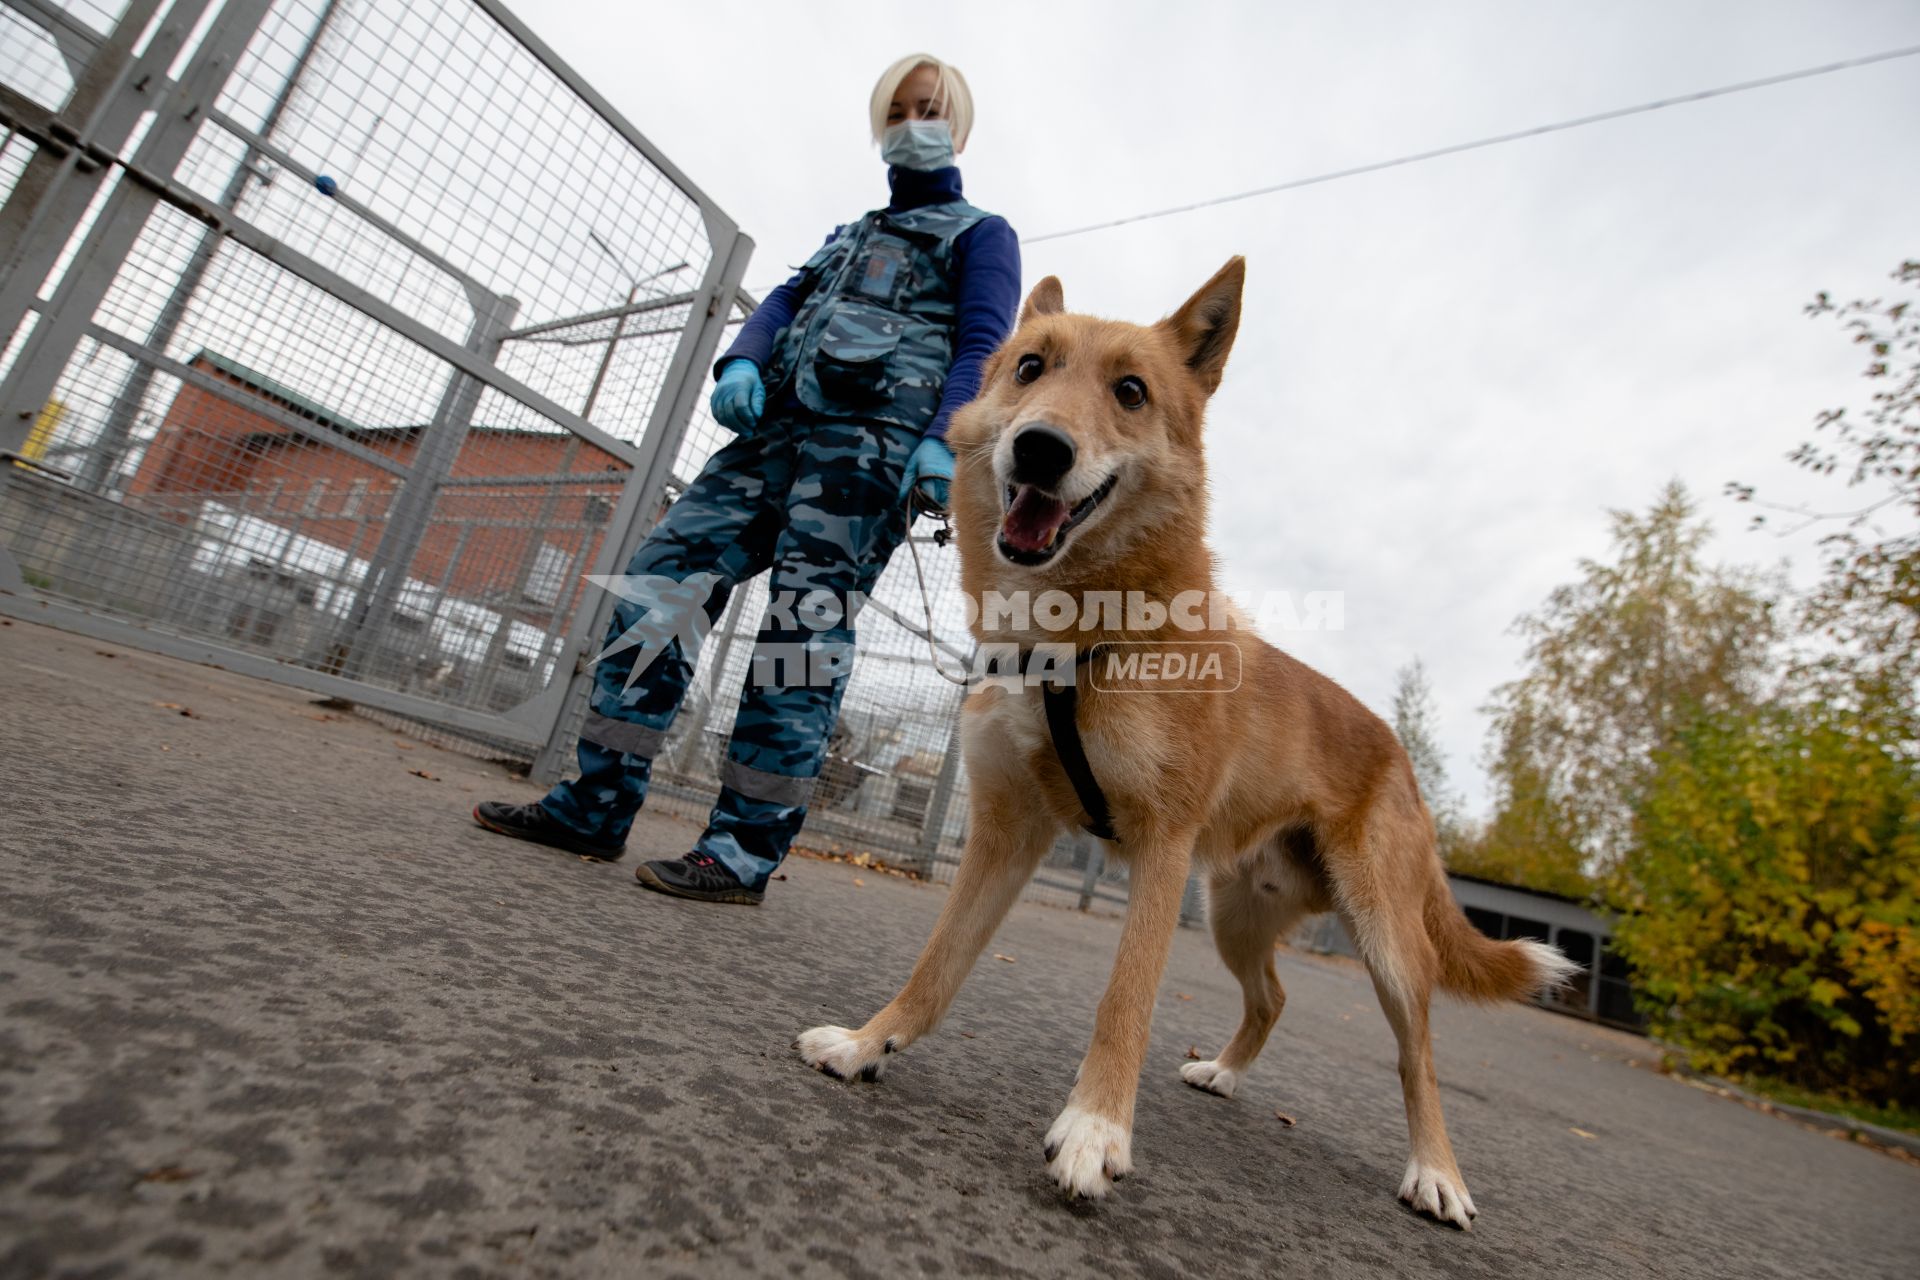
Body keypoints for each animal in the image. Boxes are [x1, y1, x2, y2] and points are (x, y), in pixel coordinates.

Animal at [794, 260, 1574, 1228]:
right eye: (1029, 367)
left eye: (1131, 392)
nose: (1040, 449)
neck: (1075, 638)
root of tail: (1397, 750)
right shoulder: (1004, 835)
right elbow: (936, 964)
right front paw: (870, 1043)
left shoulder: (1160, 850)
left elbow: (1123, 1000)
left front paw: (1094, 1133)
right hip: (1236, 914)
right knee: (1273, 996)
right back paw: (1226, 1074)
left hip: (1385, 938)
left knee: (1417, 1055)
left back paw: (1437, 1171)